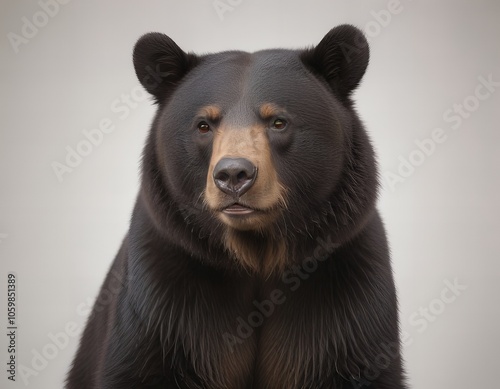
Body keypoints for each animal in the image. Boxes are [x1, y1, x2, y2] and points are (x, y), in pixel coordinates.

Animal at [67, 25, 406, 388]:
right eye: (204, 124)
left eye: (278, 121)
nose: (233, 174)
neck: (255, 254)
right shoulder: (160, 301)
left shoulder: (348, 292)